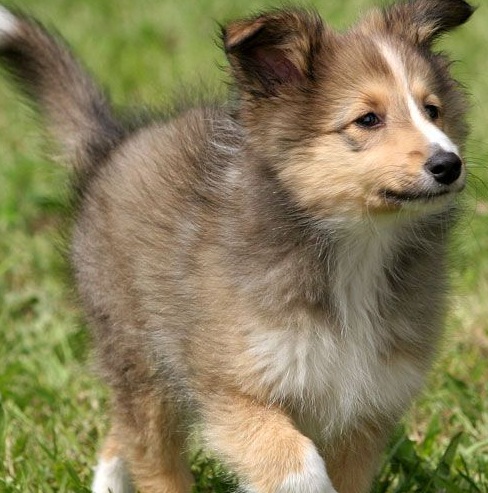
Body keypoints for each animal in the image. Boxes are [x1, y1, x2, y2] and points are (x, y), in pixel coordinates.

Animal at [0, 0, 472, 492]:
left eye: (432, 111)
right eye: (368, 119)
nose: (449, 164)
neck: (358, 251)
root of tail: (111, 145)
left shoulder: (366, 408)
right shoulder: (232, 390)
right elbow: (294, 462)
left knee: (121, 436)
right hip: (142, 357)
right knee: (150, 452)